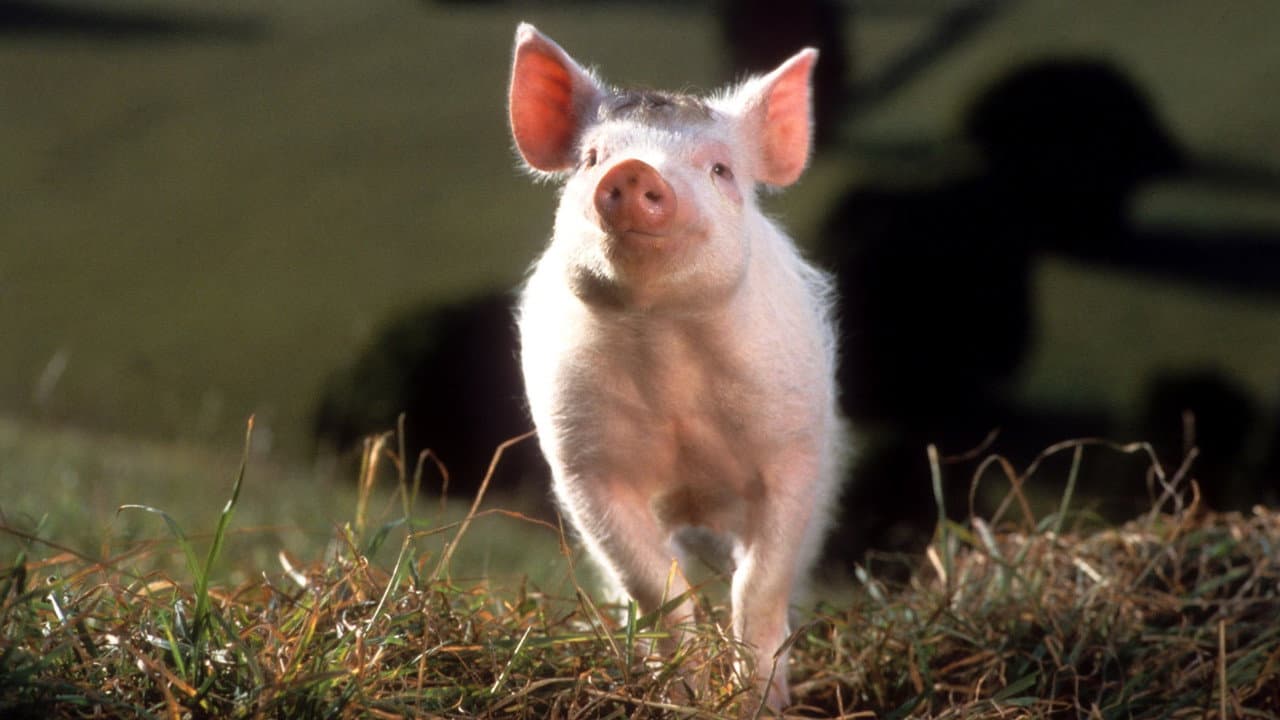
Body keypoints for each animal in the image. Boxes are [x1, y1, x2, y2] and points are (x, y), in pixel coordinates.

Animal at [508, 23, 845, 712]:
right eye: (592, 158)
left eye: (720, 169)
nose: (633, 170)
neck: (665, 344)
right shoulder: (586, 466)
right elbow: (656, 587)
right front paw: (685, 694)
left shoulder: (793, 453)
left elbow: (758, 586)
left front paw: (760, 704)